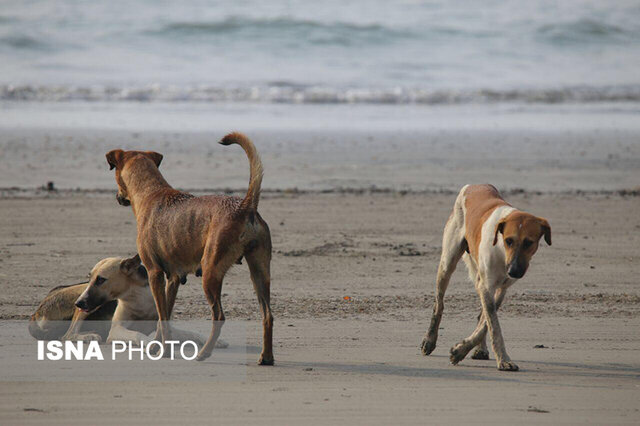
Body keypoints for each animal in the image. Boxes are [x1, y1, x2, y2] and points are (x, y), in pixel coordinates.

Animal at [107, 132, 272, 362]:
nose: (117, 197)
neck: (150, 192)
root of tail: (245, 206)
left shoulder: (154, 273)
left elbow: (161, 316)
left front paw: (164, 351)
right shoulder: (174, 278)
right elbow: (164, 316)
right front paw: (158, 347)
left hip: (211, 271)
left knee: (219, 316)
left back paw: (204, 353)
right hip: (260, 271)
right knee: (267, 314)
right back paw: (266, 357)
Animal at [420, 185, 552, 372]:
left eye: (529, 242)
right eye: (509, 240)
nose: (513, 271)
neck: (501, 251)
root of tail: (473, 185)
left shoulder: (500, 289)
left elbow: (486, 323)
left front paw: (461, 350)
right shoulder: (487, 286)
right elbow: (494, 326)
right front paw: (504, 360)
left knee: (481, 315)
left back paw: (480, 349)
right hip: (448, 262)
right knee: (439, 304)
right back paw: (429, 340)